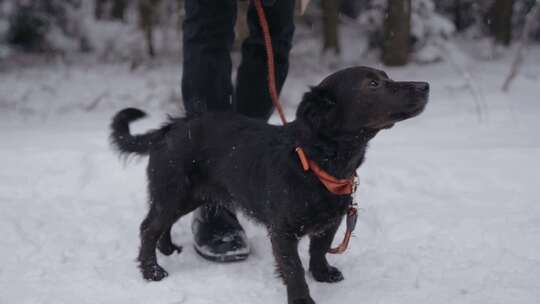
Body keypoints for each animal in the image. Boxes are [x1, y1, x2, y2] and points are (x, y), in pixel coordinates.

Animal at [109, 67, 430, 304]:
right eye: (373, 84)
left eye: (386, 77)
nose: (425, 85)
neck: (316, 161)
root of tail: (169, 128)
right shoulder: (282, 232)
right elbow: (293, 268)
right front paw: (302, 300)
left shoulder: (331, 221)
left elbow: (318, 250)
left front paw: (323, 274)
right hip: (173, 193)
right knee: (147, 228)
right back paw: (152, 271)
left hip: (188, 197)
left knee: (161, 225)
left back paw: (167, 249)